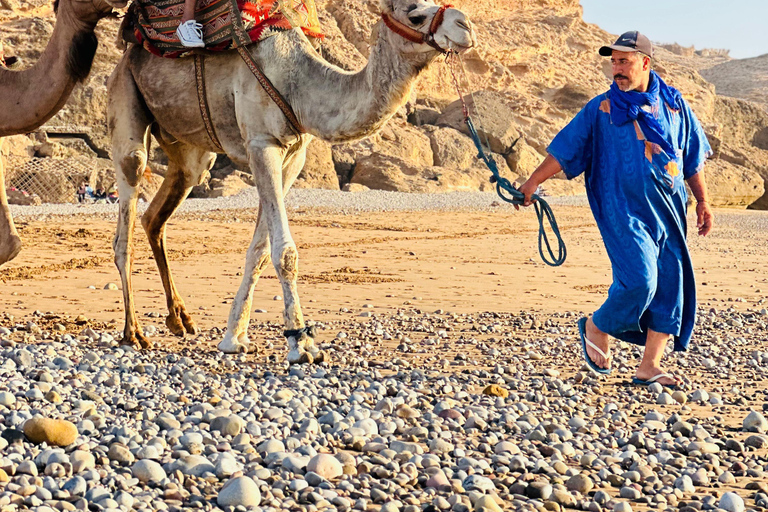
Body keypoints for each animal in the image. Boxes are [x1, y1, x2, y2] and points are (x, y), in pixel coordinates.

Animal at [108, 0, 476, 362]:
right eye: (416, 15)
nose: (466, 26)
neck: (299, 85)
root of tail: (127, 51)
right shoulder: (261, 144)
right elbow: (284, 252)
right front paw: (301, 343)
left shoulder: (294, 155)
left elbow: (259, 250)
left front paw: (234, 339)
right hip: (125, 94)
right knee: (127, 209)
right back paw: (133, 333)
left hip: (189, 150)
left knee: (157, 213)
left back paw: (179, 319)